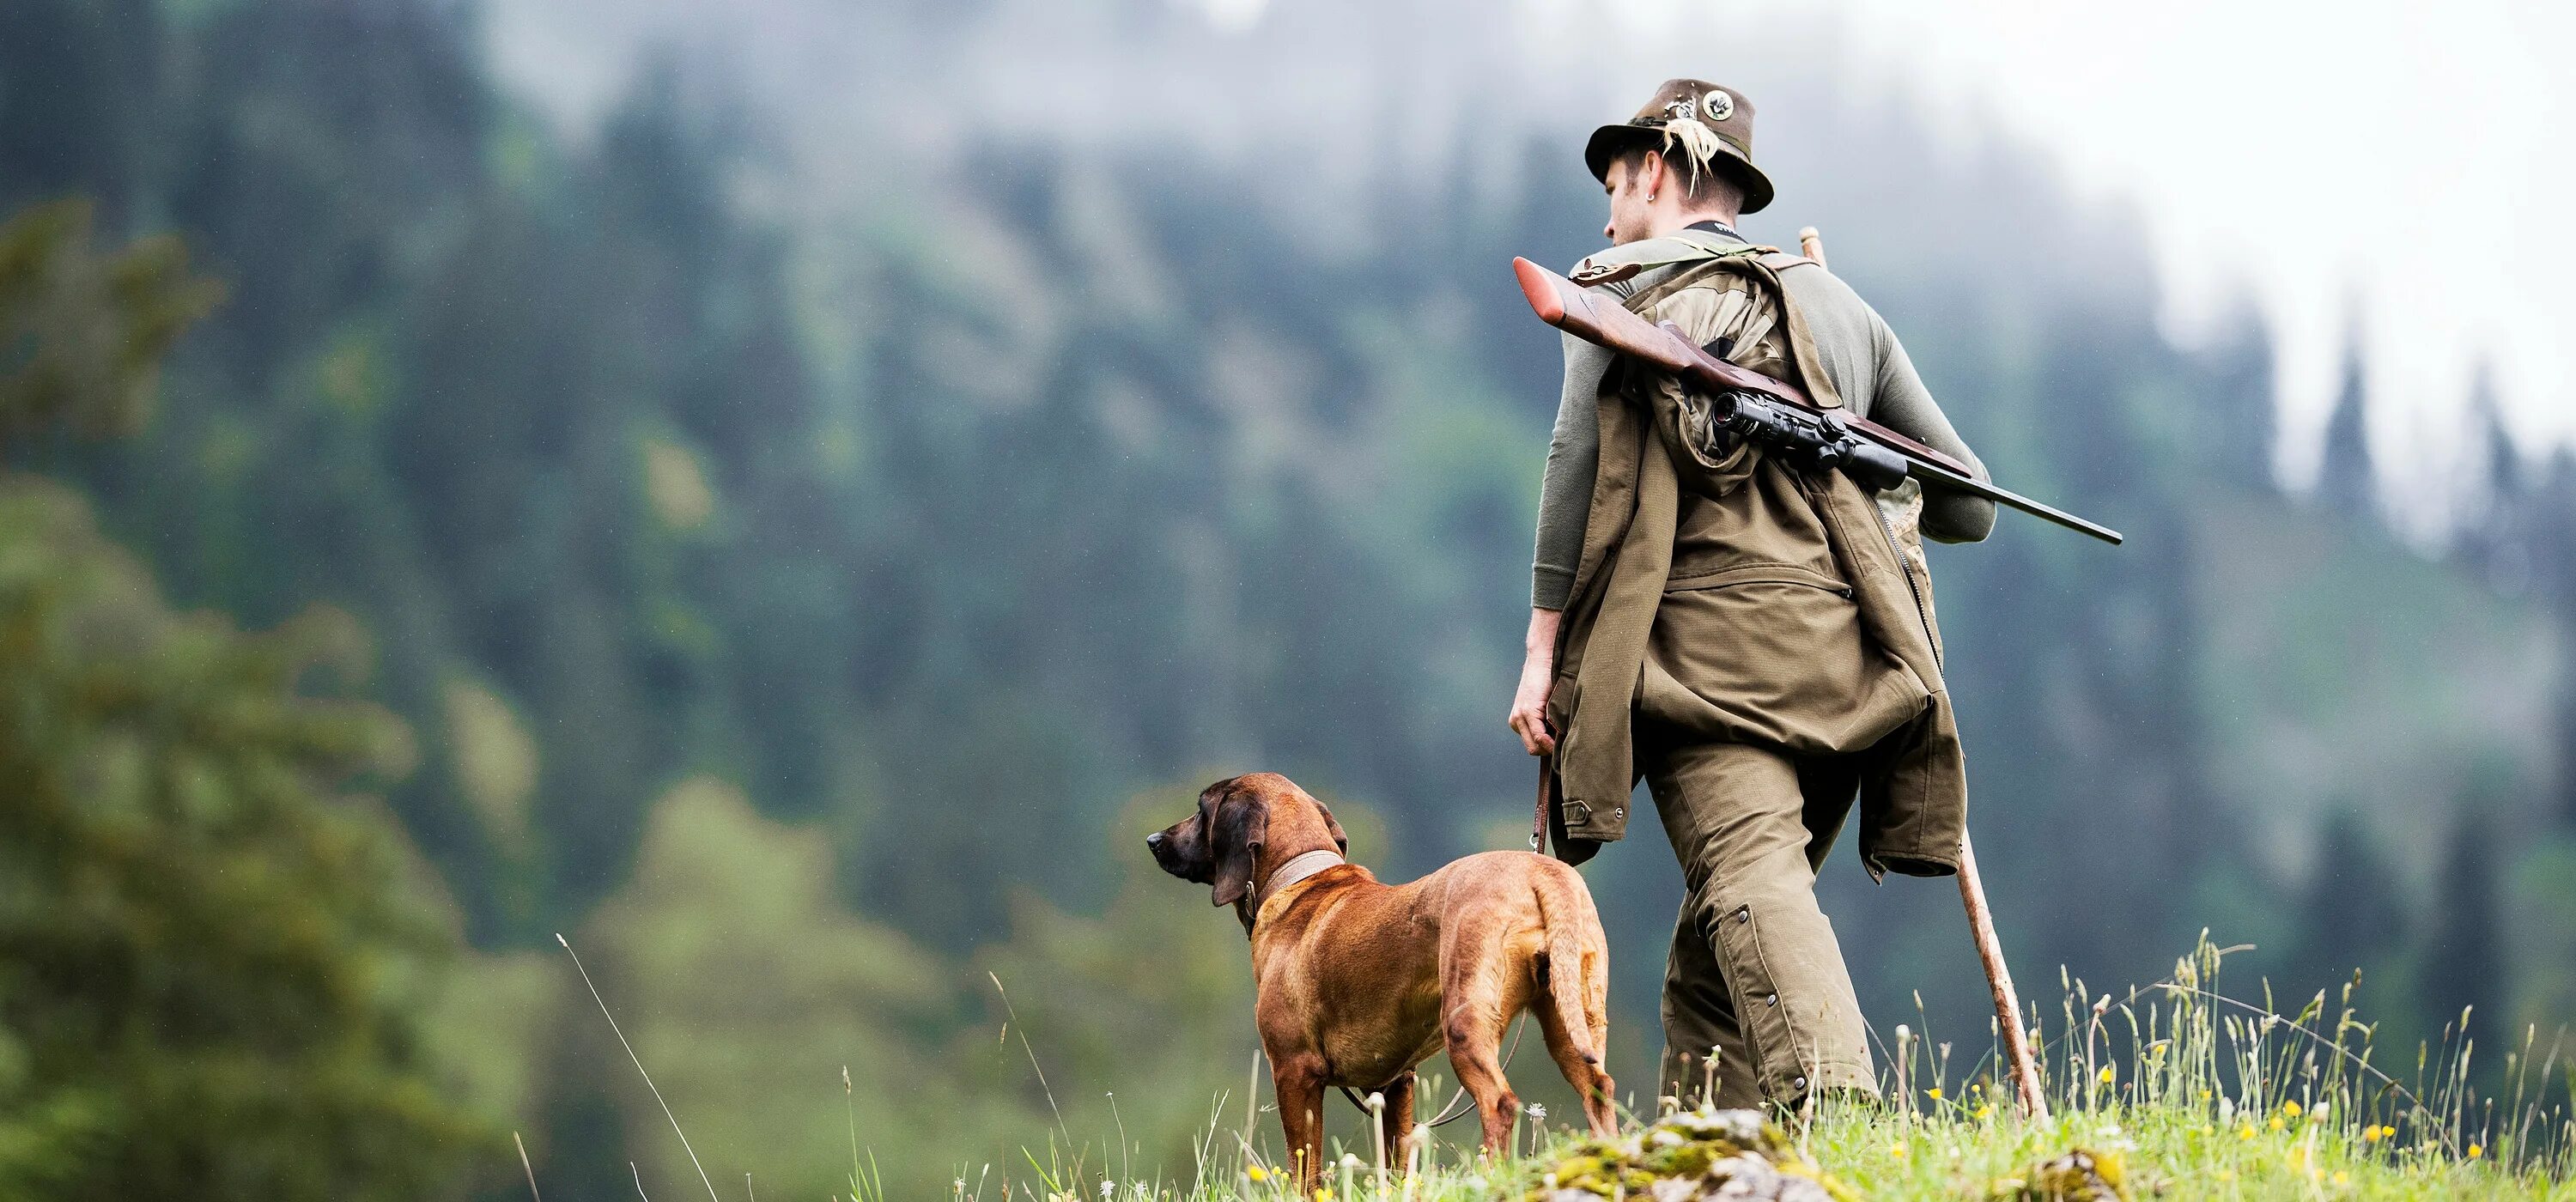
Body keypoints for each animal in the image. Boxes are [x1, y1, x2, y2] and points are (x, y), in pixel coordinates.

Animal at [1149, 772, 1607, 1184]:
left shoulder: (1294, 1071)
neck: (1298, 878)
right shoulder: (1396, 1084)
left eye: (1201, 810)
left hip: (1465, 1024)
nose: (1153, 840)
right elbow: (1396, 1162)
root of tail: (1538, 871)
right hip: (1574, 1024)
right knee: (1599, 1089)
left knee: (1501, 1103)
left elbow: (1303, 1167)